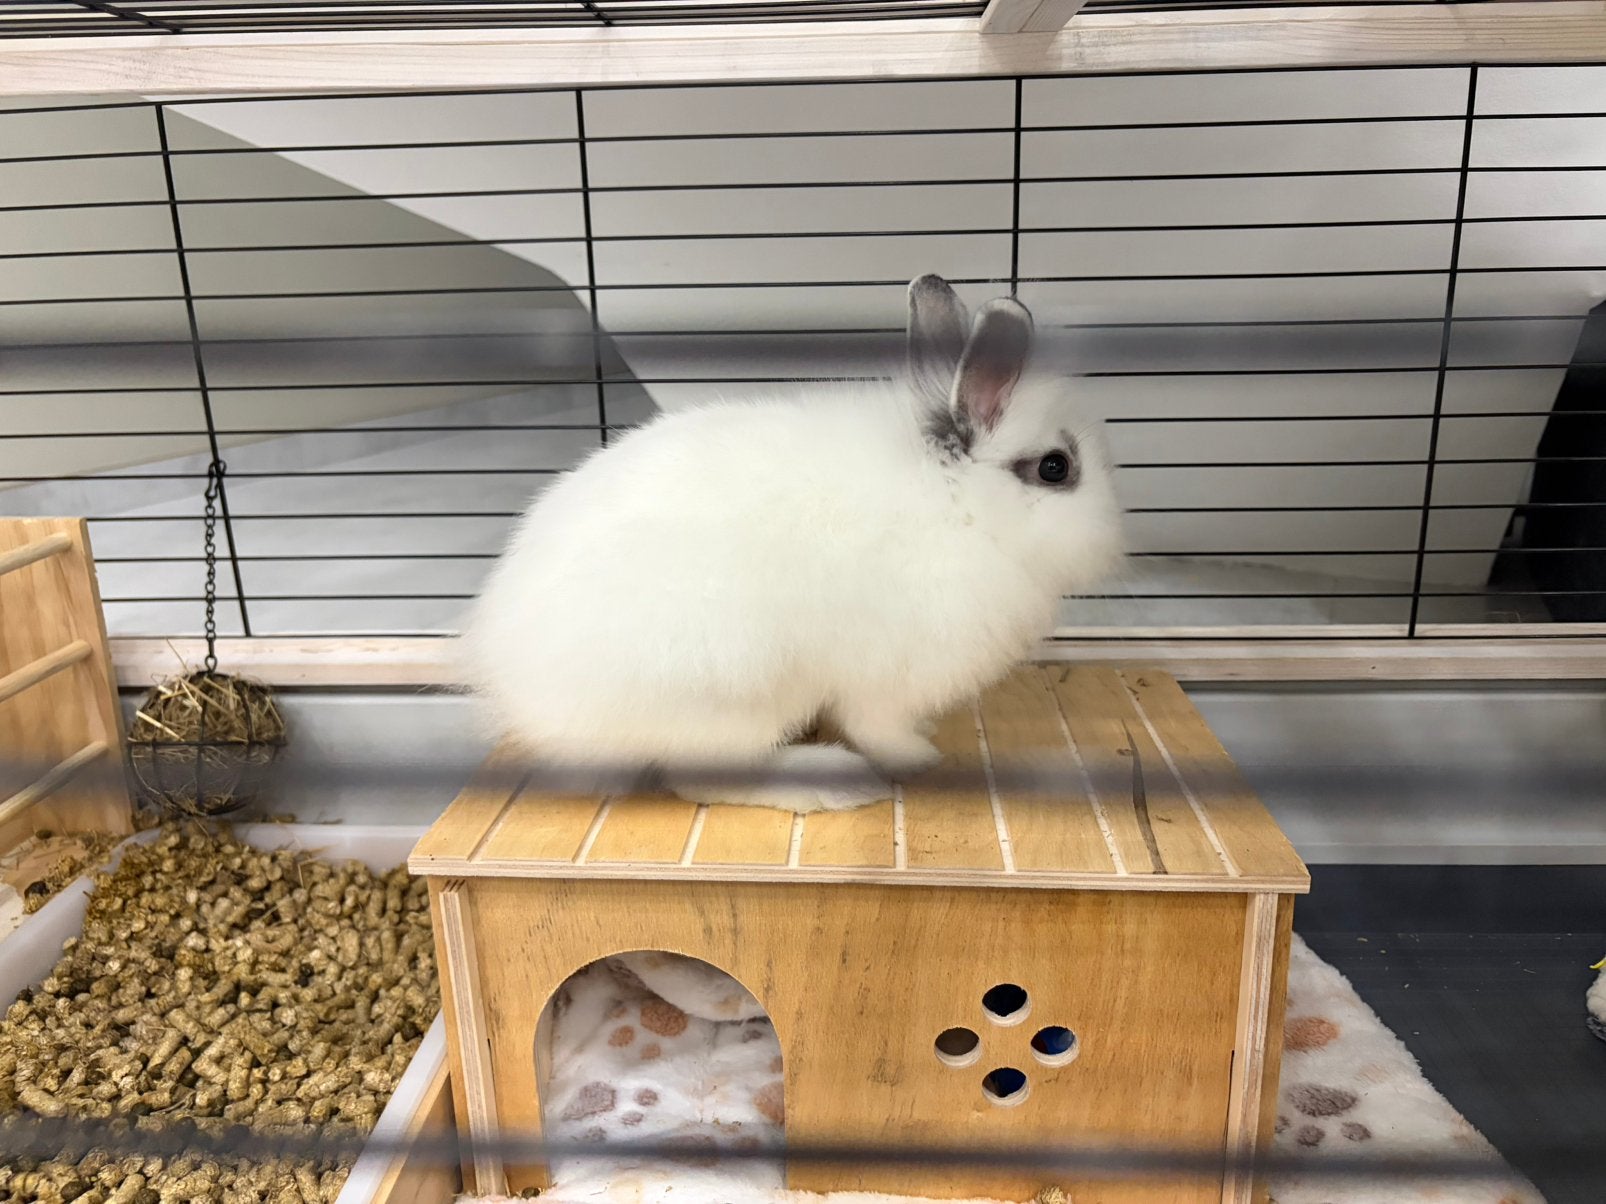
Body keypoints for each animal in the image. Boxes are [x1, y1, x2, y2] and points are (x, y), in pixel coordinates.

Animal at [459, 273, 1125, 812]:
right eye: (1057, 468)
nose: (1115, 543)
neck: (958, 507)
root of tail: (533, 702)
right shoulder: (887, 676)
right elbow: (878, 727)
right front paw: (919, 758)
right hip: (735, 689)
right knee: (703, 778)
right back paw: (835, 783)